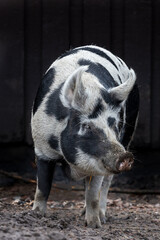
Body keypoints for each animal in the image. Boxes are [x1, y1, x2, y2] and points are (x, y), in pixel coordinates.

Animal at [31, 45, 139, 227]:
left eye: (116, 124)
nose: (125, 156)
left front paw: (94, 225)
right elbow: (43, 186)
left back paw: (101, 216)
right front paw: (36, 215)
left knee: (107, 183)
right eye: (86, 126)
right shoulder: (42, 148)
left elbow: (93, 194)